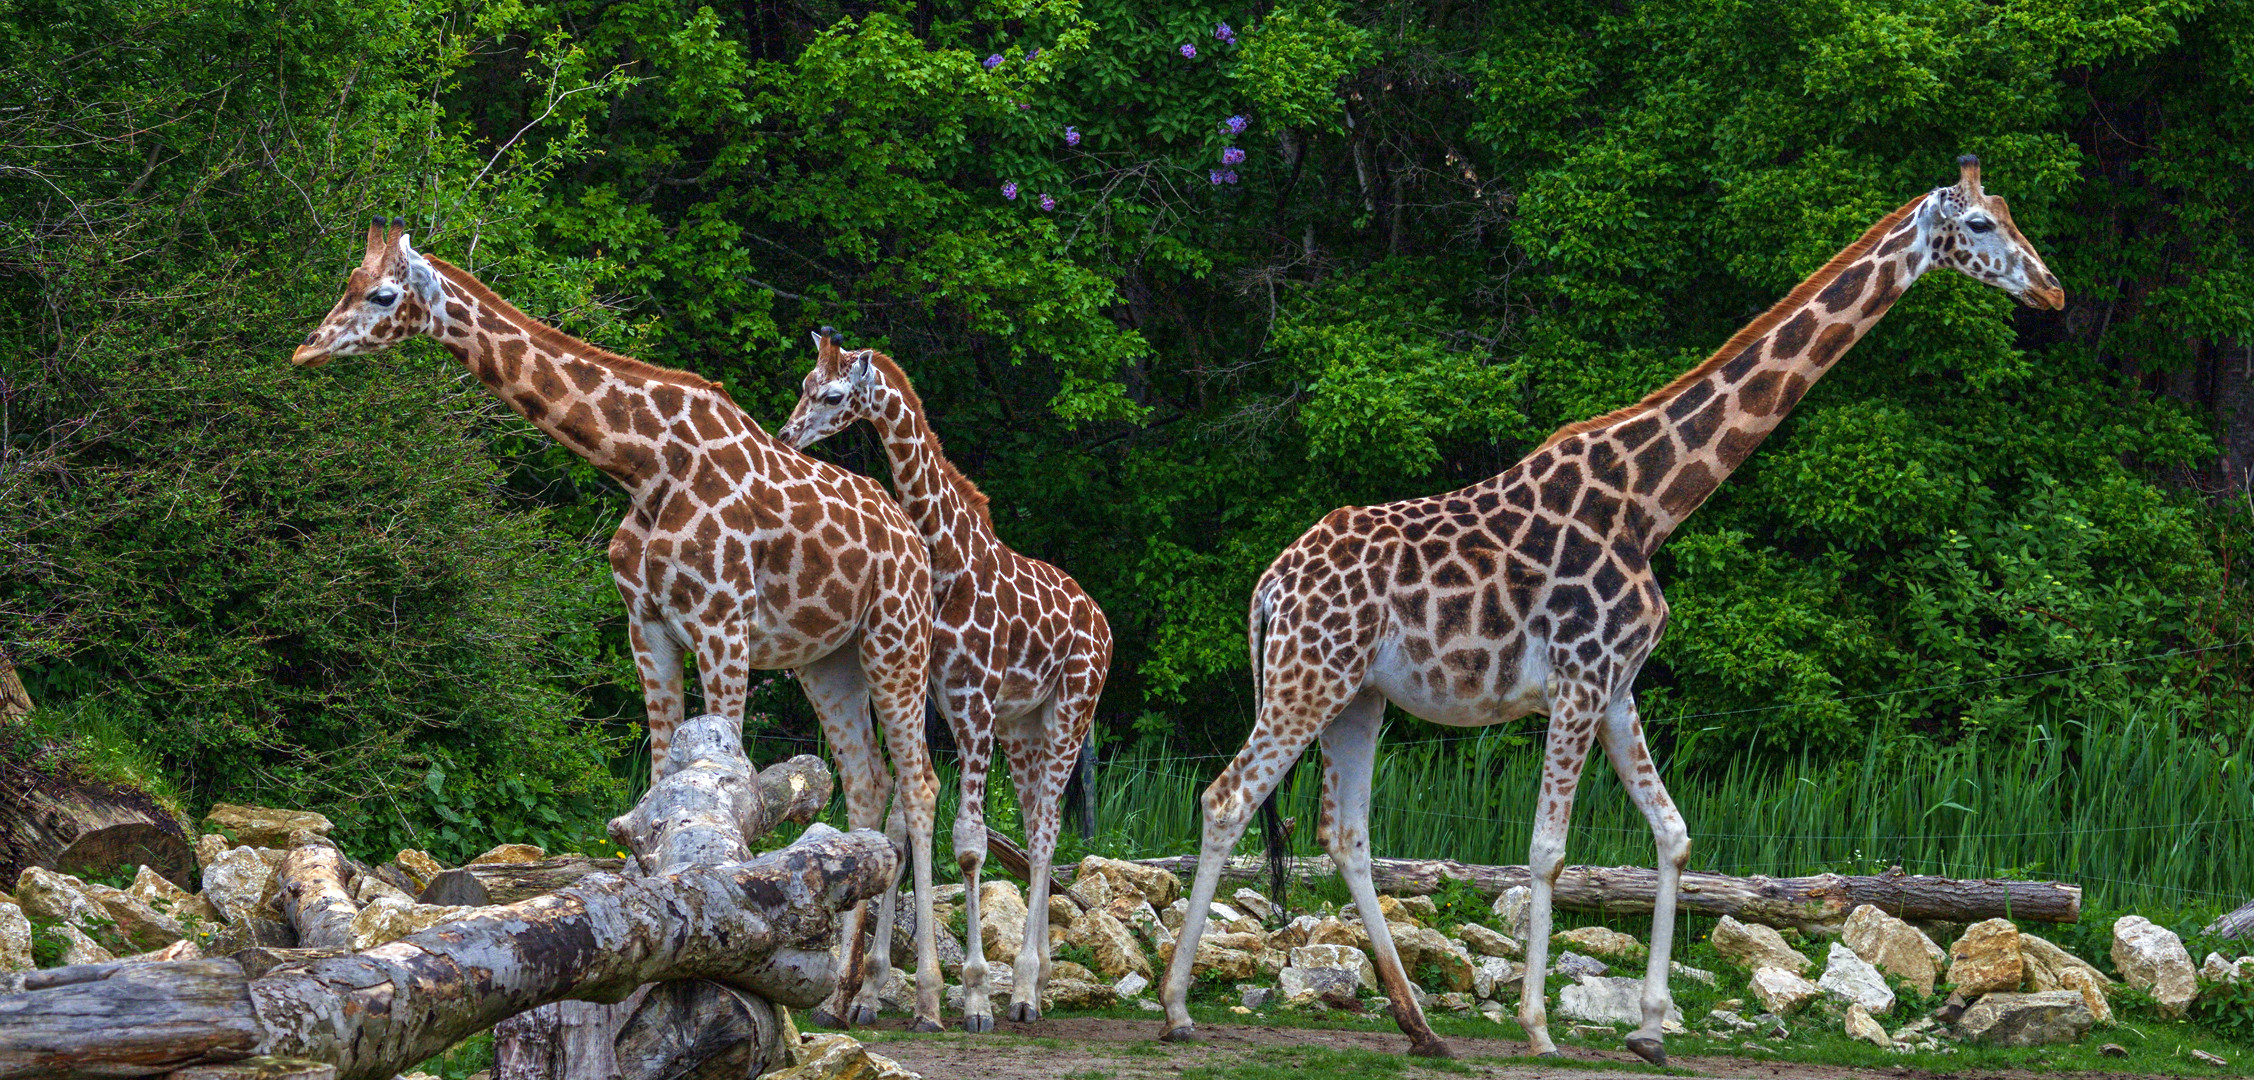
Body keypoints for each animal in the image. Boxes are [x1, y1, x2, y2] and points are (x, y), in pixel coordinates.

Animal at [288, 217, 951, 1032]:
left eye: (383, 293)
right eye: (349, 279)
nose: (307, 349)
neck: (642, 464)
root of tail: (914, 541)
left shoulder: (723, 625)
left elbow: (732, 788)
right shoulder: (649, 628)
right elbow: (660, 790)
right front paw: (651, 965)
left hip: (897, 640)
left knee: (920, 785)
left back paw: (928, 1000)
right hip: (828, 660)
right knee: (867, 781)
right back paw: (841, 994)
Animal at [779, 342, 1113, 1037]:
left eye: (832, 395)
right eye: (804, 382)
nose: (788, 435)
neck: (948, 561)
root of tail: (1104, 623)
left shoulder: (974, 706)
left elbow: (969, 846)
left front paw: (975, 999)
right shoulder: (941, 706)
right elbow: (902, 829)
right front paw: (874, 991)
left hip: (1071, 710)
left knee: (1046, 832)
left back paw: (1024, 992)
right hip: (1024, 727)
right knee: (1041, 825)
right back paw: (1037, 985)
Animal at [1163, 156, 2064, 1059]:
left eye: (2008, 209)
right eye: (1979, 224)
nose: (2051, 290)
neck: (1651, 504)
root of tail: (1269, 584)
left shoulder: (1617, 686)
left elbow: (1674, 833)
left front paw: (1651, 1029)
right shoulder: (1577, 681)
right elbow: (1547, 851)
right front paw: (1539, 1028)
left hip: (1359, 694)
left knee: (1346, 835)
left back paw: (1420, 1026)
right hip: (1305, 679)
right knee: (1228, 799)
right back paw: (1177, 1009)